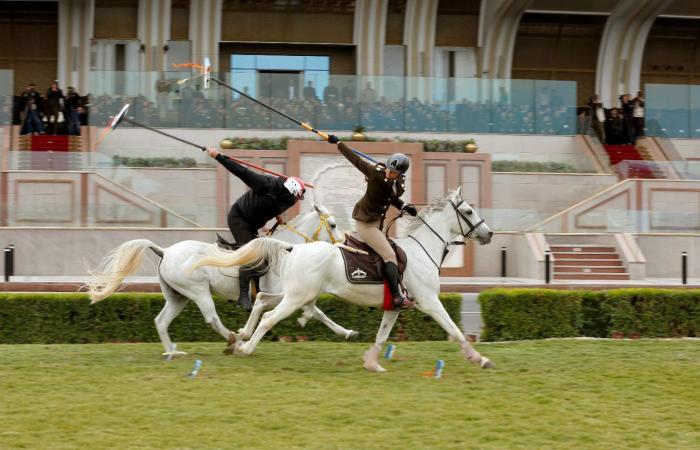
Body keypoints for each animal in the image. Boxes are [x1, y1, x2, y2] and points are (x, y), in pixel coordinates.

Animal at [85, 203, 356, 356]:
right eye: (333, 224)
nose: (344, 243)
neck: (287, 252)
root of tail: (165, 251)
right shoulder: (288, 293)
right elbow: (311, 310)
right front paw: (245, 335)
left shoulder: (296, 293)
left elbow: (317, 311)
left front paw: (347, 332)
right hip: (198, 291)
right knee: (212, 319)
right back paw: (232, 340)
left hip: (177, 297)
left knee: (161, 321)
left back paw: (173, 351)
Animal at [194, 187, 494, 372]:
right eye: (468, 211)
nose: (489, 234)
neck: (422, 251)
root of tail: (294, 249)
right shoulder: (430, 302)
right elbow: (454, 330)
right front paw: (479, 359)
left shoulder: (395, 307)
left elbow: (382, 336)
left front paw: (372, 363)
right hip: (296, 297)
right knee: (269, 317)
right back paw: (245, 347)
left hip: (294, 293)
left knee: (263, 301)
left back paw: (241, 337)